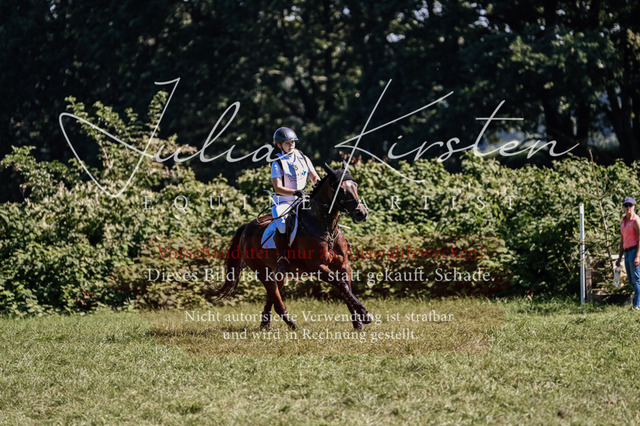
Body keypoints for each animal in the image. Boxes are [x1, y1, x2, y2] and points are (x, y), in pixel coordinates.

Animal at [207, 163, 374, 330]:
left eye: (355, 186)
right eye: (341, 189)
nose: (361, 213)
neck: (325, 228)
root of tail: (247, 226)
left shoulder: (343, 265)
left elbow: (347, 290)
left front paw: (358, 322)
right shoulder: (318, 267)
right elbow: (342, 286)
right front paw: (365, 314)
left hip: (278, 273)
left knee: (272, 295)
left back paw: (265, 325)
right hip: (261, 270)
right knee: (275, 299)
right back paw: (293, 326)